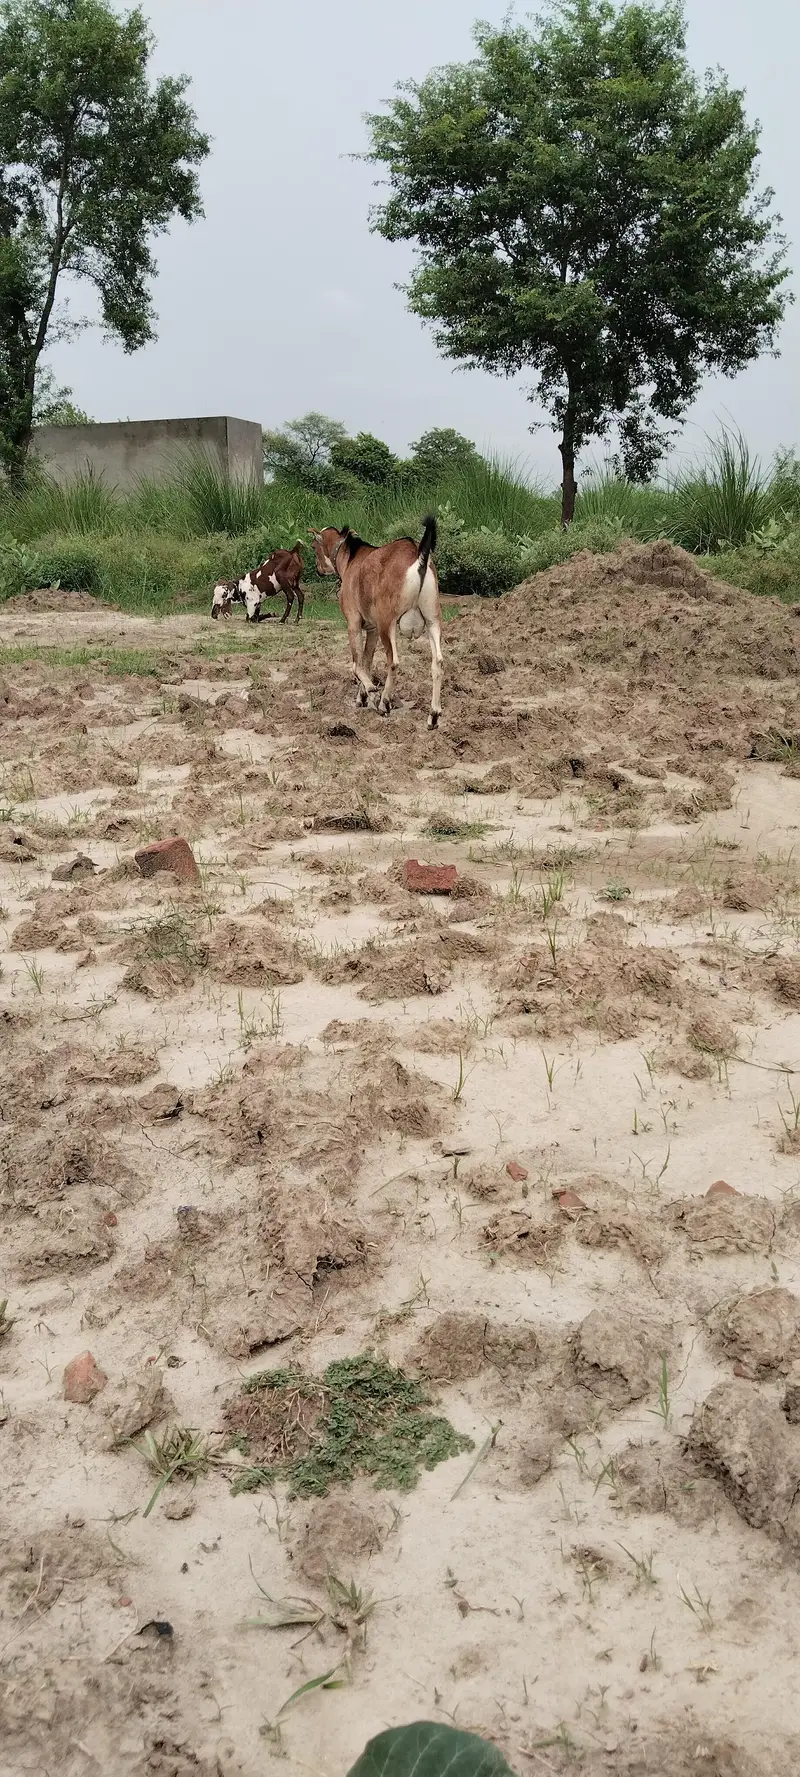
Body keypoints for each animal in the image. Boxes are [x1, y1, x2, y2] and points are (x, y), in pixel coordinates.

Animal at [309, 515, 442, 728]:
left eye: (314, 546)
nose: (319, 569)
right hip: (432, 619)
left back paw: (384, 703)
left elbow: (357, 664)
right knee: (437, 662)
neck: (352, 559)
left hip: (387, 623)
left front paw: (371, 692)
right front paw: (361, 697)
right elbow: (367, 661)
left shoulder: (353, 622)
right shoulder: (371, 628)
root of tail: (418, 555)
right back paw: (433, 715)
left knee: (393, 662)